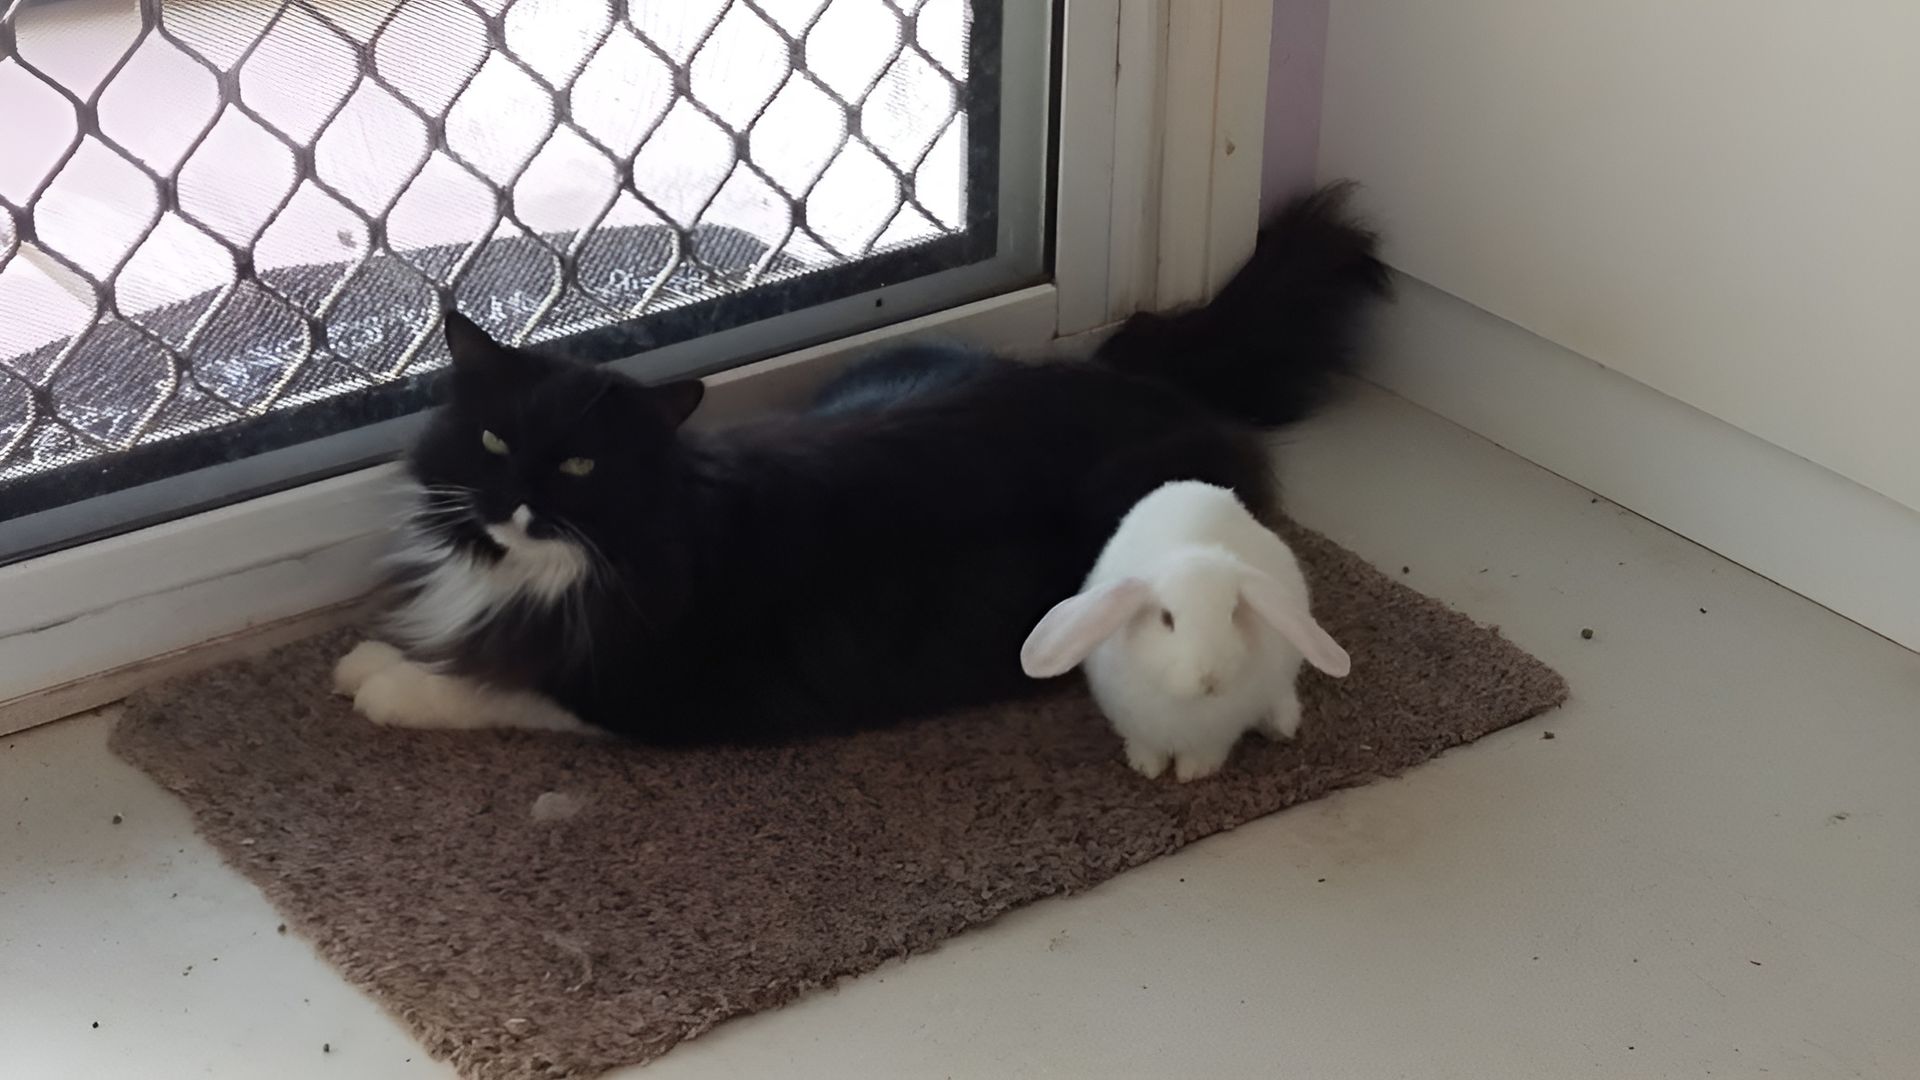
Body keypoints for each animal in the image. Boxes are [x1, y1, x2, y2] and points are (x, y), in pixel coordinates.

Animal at [337, 184, 1390, 737]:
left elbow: (493, 687)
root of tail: (1130, 378)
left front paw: (376, 677)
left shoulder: (646, 692)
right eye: (493, 441)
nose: (513, 502)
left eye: (582, 470)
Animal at [1021, 476, 1351, 772]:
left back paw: (1281, 726)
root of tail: (1191, 486)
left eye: (1233, 613)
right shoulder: (1136, 724)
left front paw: (1192, 773)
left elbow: (1205, 754)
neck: (1186, 703)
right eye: (1166, 619)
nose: (1209, 679)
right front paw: (1147, 768)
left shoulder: (1218, 733)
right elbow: (1145, 747)